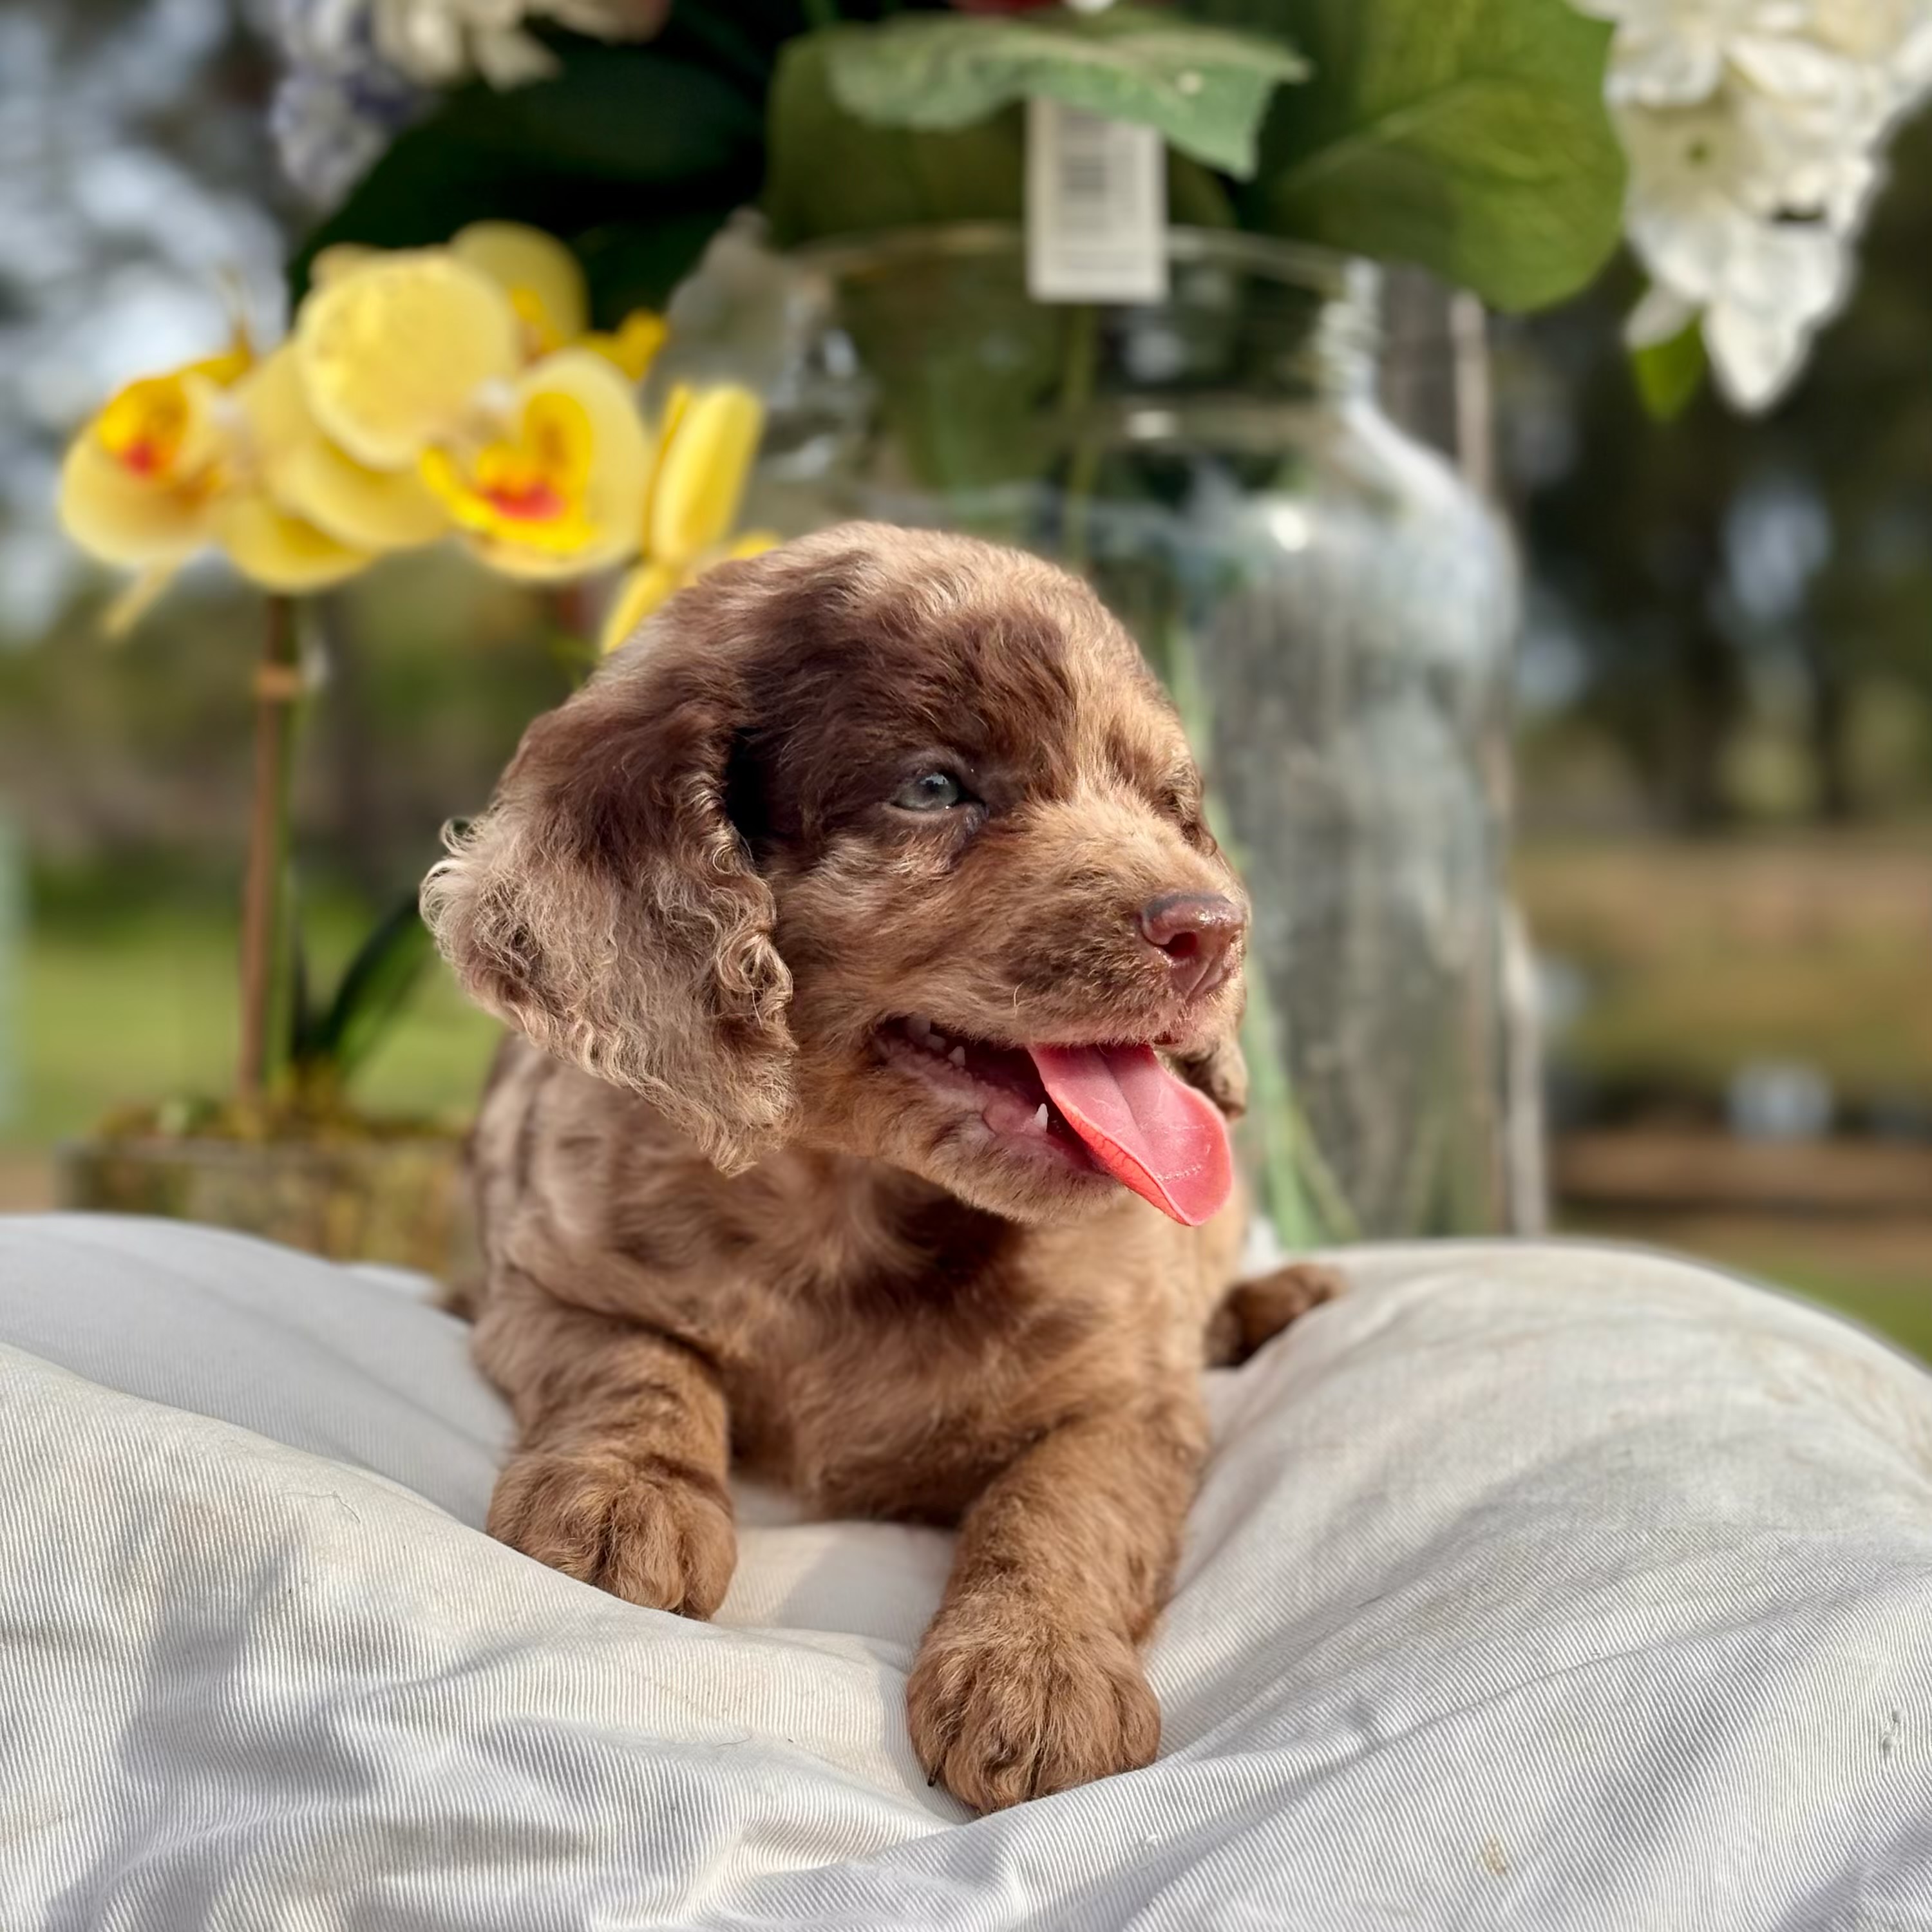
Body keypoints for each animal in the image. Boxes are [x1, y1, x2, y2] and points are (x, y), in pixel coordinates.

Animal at [423, 523, 1338, 1812]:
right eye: (936, 788)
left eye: (1172, 806)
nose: (1215, 929)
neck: (851, 1210)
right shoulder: (545, 1279)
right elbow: (636, 1363)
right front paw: (620, 1499)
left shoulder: (1133, 1396)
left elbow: (1064, 1498)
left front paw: (1040, 1666)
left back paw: (1278, 1299)